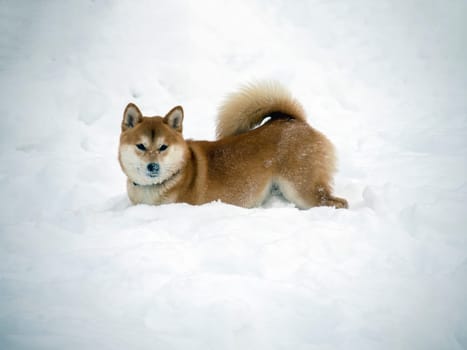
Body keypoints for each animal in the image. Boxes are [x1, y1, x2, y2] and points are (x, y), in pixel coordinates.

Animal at [119, 81, 350, 208]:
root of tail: (292, 120)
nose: (153, 167)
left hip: (301, 189)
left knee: (339, 203)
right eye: (141, 146)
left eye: (163, 147)